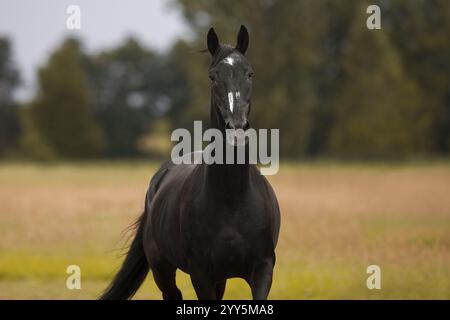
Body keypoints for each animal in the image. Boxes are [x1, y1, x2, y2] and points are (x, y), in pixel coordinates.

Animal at [100, 25, 280, 300]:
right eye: (213, 77)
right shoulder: (201, 274)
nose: (237, 127)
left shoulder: (262, 269)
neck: (232, 199)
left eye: (249, 73)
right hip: (163, 270)